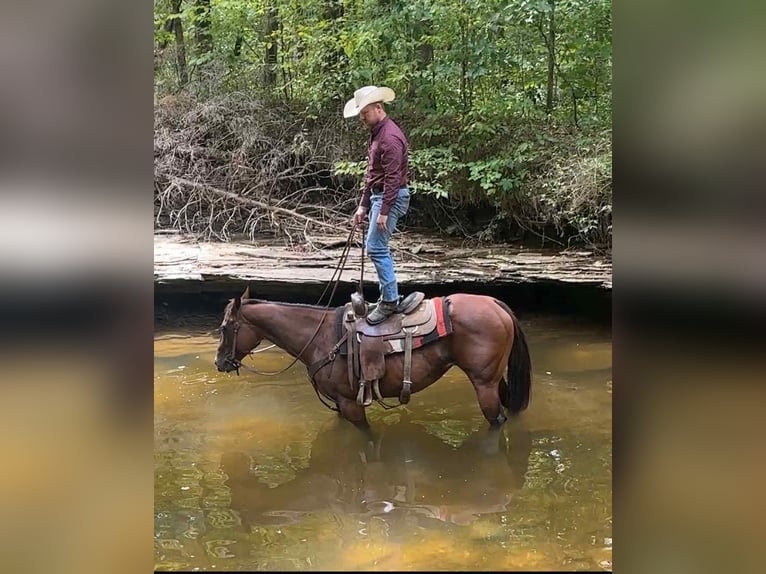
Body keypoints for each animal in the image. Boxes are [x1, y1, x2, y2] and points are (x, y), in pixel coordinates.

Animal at [214, 286, 532, 429]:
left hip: (484, 384)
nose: (219, 362)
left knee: (497, 419)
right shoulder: (340, 405)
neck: (319, 337)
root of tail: (495, 303)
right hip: (495, 379)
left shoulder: (350, 404)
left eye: (225, 327)